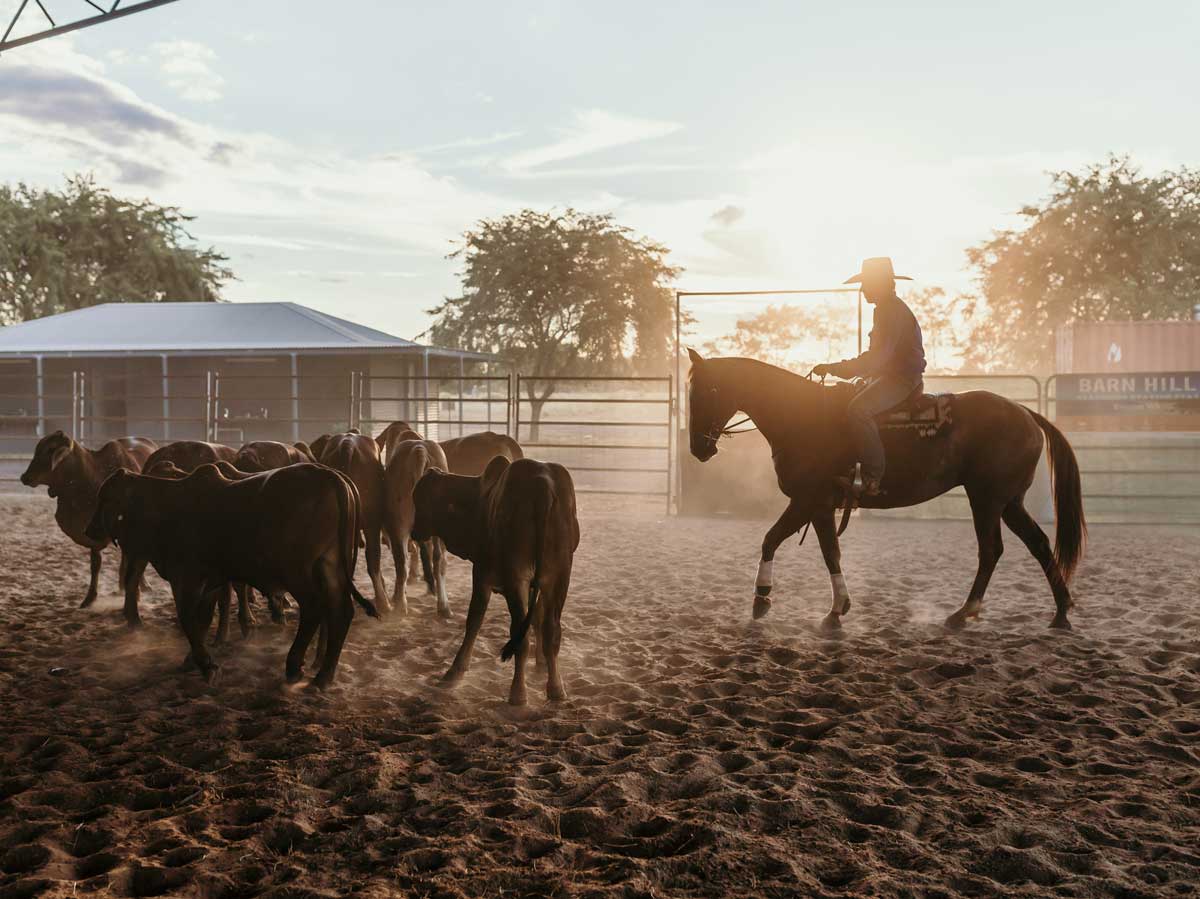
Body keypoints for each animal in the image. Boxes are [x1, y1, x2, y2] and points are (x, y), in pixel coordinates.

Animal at [86, 463, 376, 688]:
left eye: (105, 498)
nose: (90, 530)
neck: (168, 506)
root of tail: (332, 476)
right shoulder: (210, 582)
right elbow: (202, 620)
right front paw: (192, 660)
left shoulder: (186, 580)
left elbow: (188, 620)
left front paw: (207, 665)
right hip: (329, 567)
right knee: (341, 611)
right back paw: (323, 676)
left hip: (300, 572)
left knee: (315, 609)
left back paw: (295, 667)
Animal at [383, 437, 451, 618]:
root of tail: (419, 449)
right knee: (438, 561)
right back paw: (443, 606)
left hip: (399, 525)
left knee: (402, 562)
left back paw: (400, 605)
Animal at [412, 457, 579, 706]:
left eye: (420, 500)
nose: (413, 532)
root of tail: (543, 484)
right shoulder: (537, 584)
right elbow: (537, 619)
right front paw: (540, 664)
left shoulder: (481, 575)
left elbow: (474, 621)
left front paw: (454, 672)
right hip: (560, 576)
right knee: (552, 630)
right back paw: (556, 688)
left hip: (516, 579)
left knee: (520, 637)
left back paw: (518, 693)